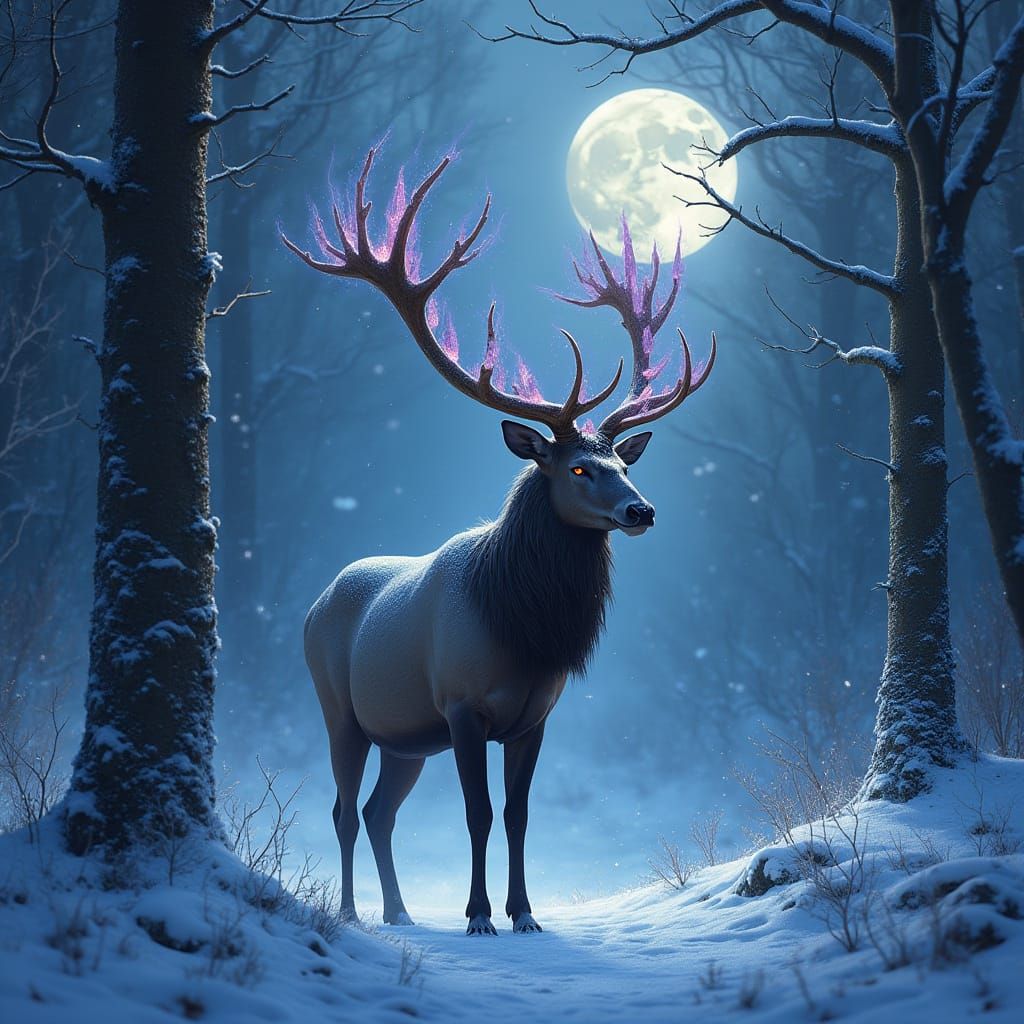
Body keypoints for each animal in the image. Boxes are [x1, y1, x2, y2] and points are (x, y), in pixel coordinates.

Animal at [282, 144, 715, 936]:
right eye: (578, 467)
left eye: (622, 464)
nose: (642, 511)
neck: (523, 627)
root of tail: (319, 599)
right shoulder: (460, 706)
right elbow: (477, 815)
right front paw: (480, 914)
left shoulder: (533, 717)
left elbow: (517, 816)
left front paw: (524, 912)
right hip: (338, 707)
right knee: (343, 810)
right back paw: (355, 912)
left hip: (404, 737)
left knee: (381, 811)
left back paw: (400, 912)